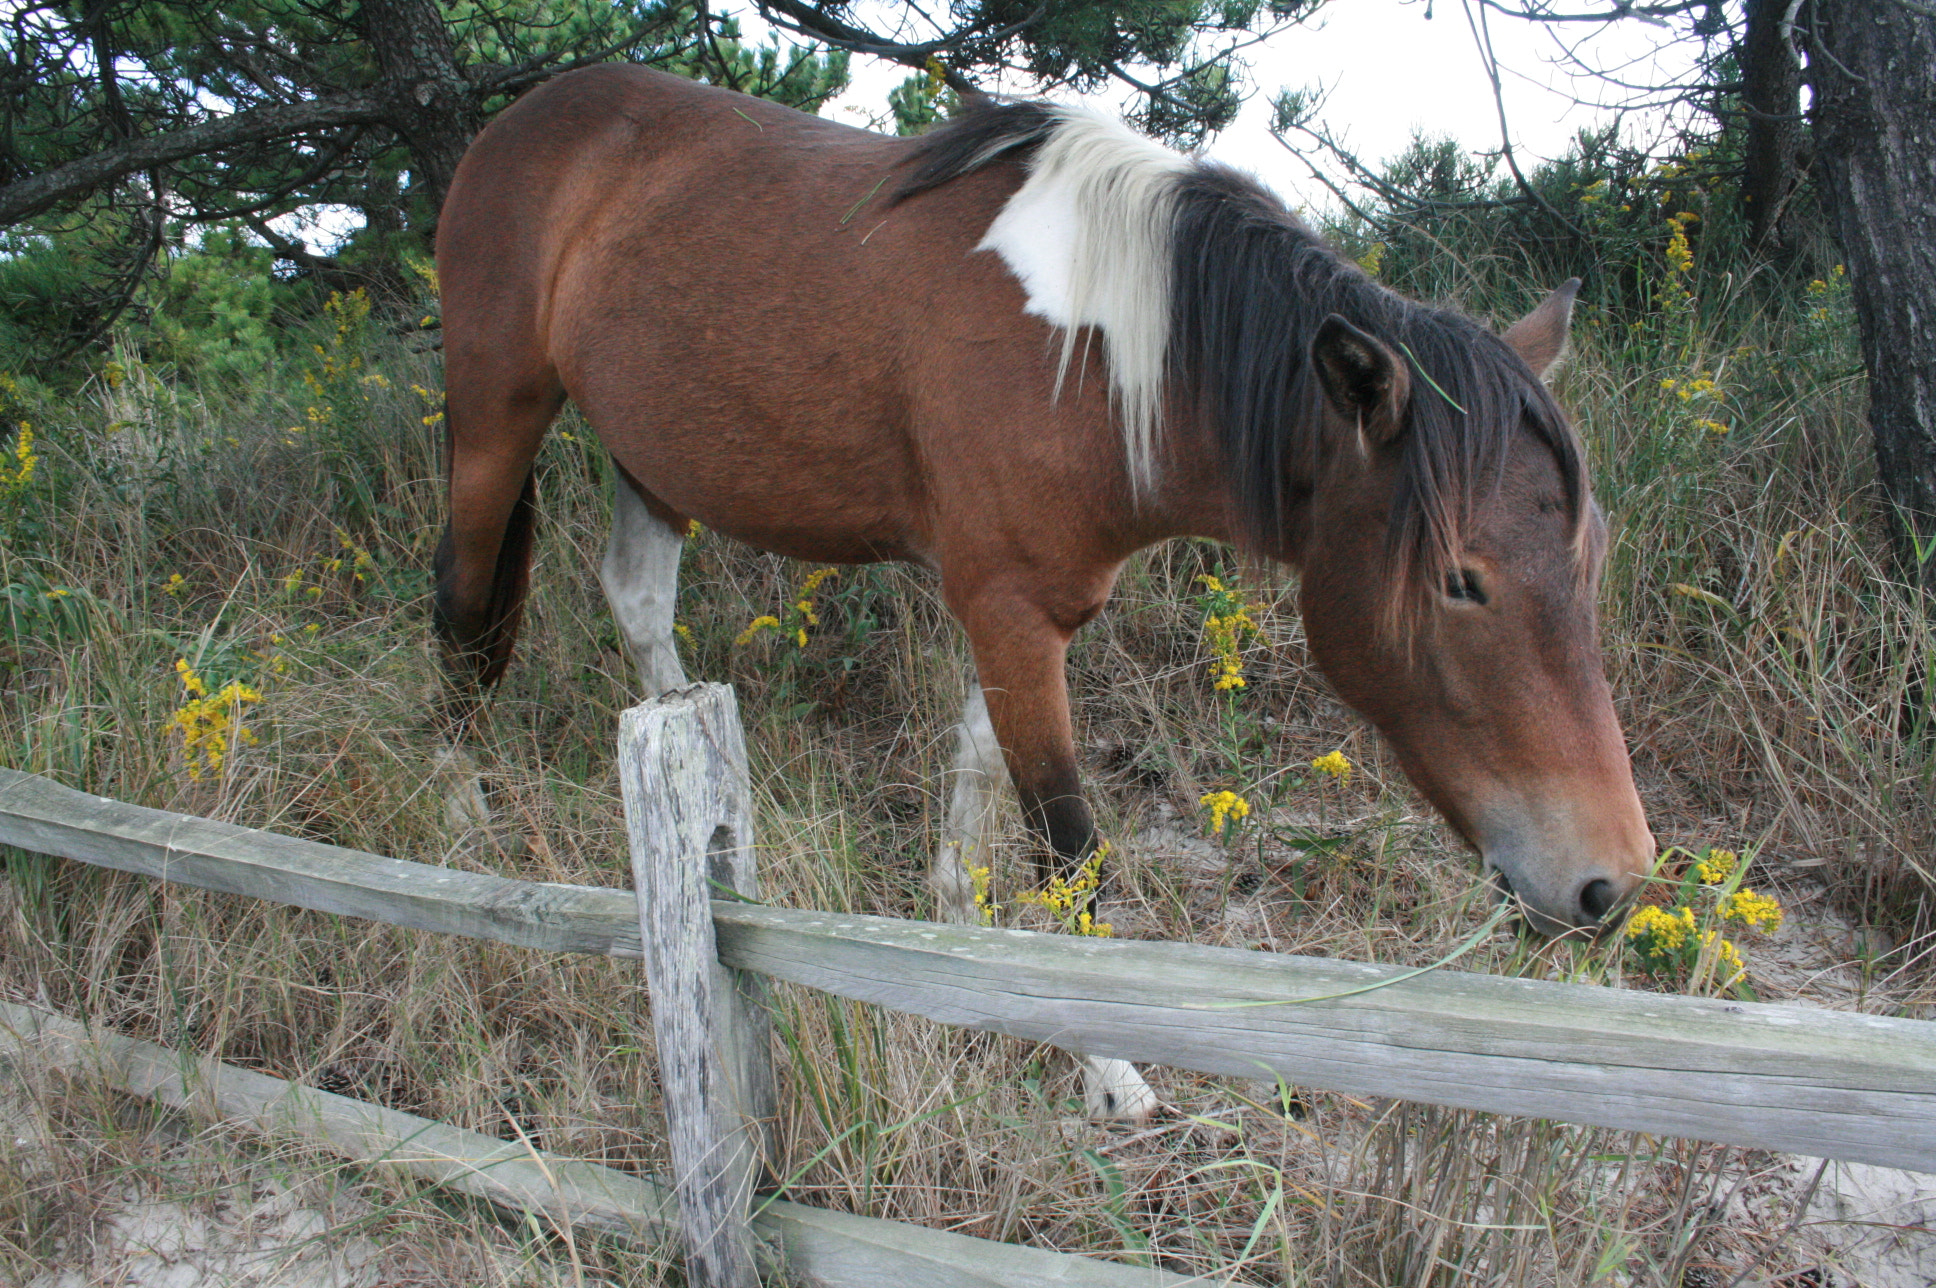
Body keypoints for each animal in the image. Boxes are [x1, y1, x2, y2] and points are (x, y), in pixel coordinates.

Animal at [431, 65, 1657, 1123]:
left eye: (1590, 561)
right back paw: (462, 819)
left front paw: (958, 943)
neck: (1103, 355)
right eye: (1461, 582)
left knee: (638, 602)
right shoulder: (1013, 613)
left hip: (654, 453)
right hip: (494, 418)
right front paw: (1106, 1065)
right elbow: (1069, 848)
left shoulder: (1014, 613)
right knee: (460, 607)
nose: (1613, 884)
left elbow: (980, 781)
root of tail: (531, 116)